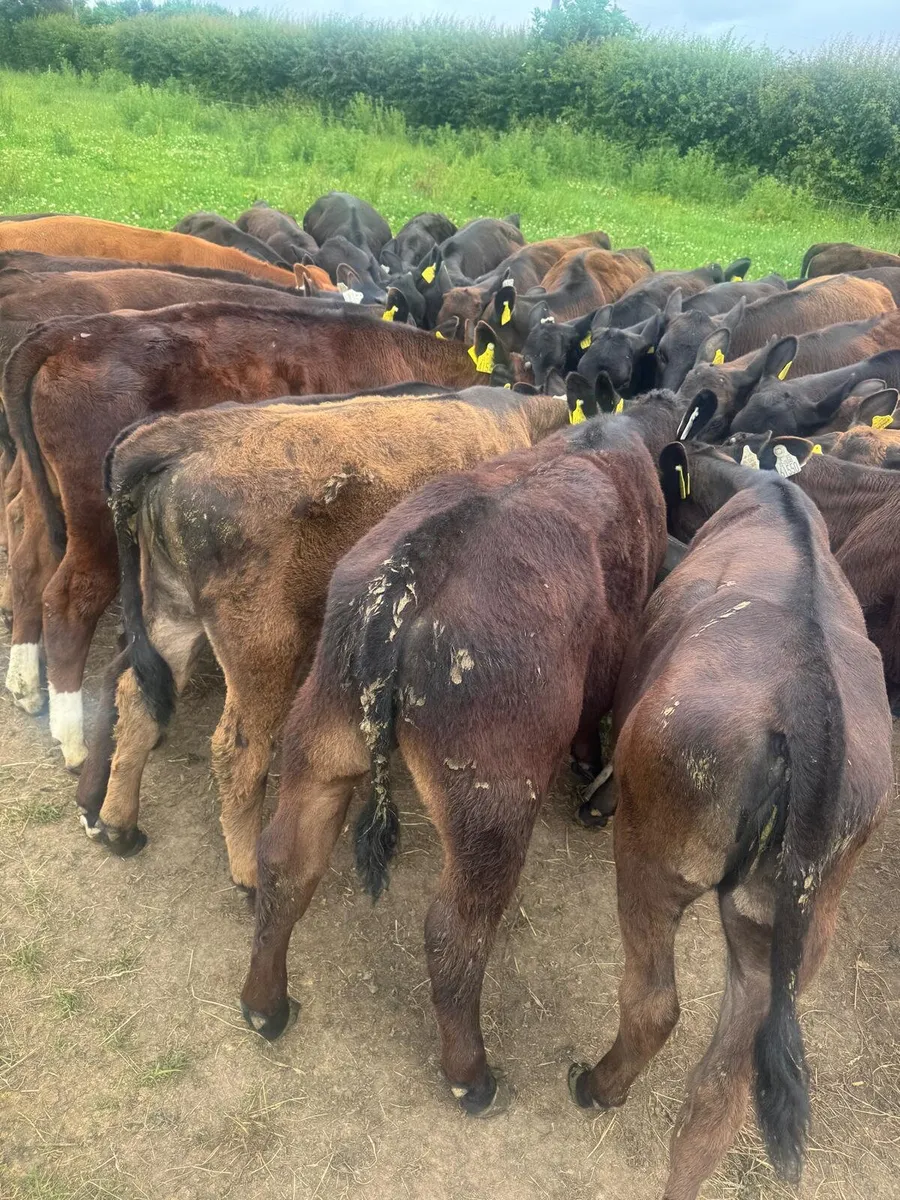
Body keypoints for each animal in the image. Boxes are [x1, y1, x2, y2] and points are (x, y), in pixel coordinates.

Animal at [2, 304, 521, 767]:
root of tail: (66, 333)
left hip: (45, 492)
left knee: (27, 553)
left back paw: (27, 685)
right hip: (93, 520)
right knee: (68, 598)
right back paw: (71, 738)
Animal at [76, 385, 569, 874]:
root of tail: (181, 438)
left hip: (172, 611)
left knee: (134, 697)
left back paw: (118, 826)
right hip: (265, 646)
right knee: (239, 751)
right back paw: (247, 872)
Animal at [237, 390, 681, 1118]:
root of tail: (413, 571)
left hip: (320, 737)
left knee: (284, 862)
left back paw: (264, 1006)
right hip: (492, 802)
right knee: (454, 932)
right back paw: (469, 1075)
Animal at [572, 446, 892, 1200]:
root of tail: (807, 696)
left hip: (655, 856)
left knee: (654, 1002)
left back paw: (598, 1086)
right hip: (782, 929)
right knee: (721, 1096)